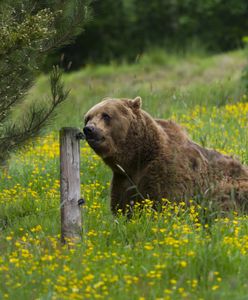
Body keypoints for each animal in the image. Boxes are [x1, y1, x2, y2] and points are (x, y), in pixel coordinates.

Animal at [83, 96, 248, 213]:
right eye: (88, 117)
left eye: (106, 115)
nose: (89, 129)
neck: (137, 158)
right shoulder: (123, 179)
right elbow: (122, 207)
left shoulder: (166, 172)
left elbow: (167, 201)